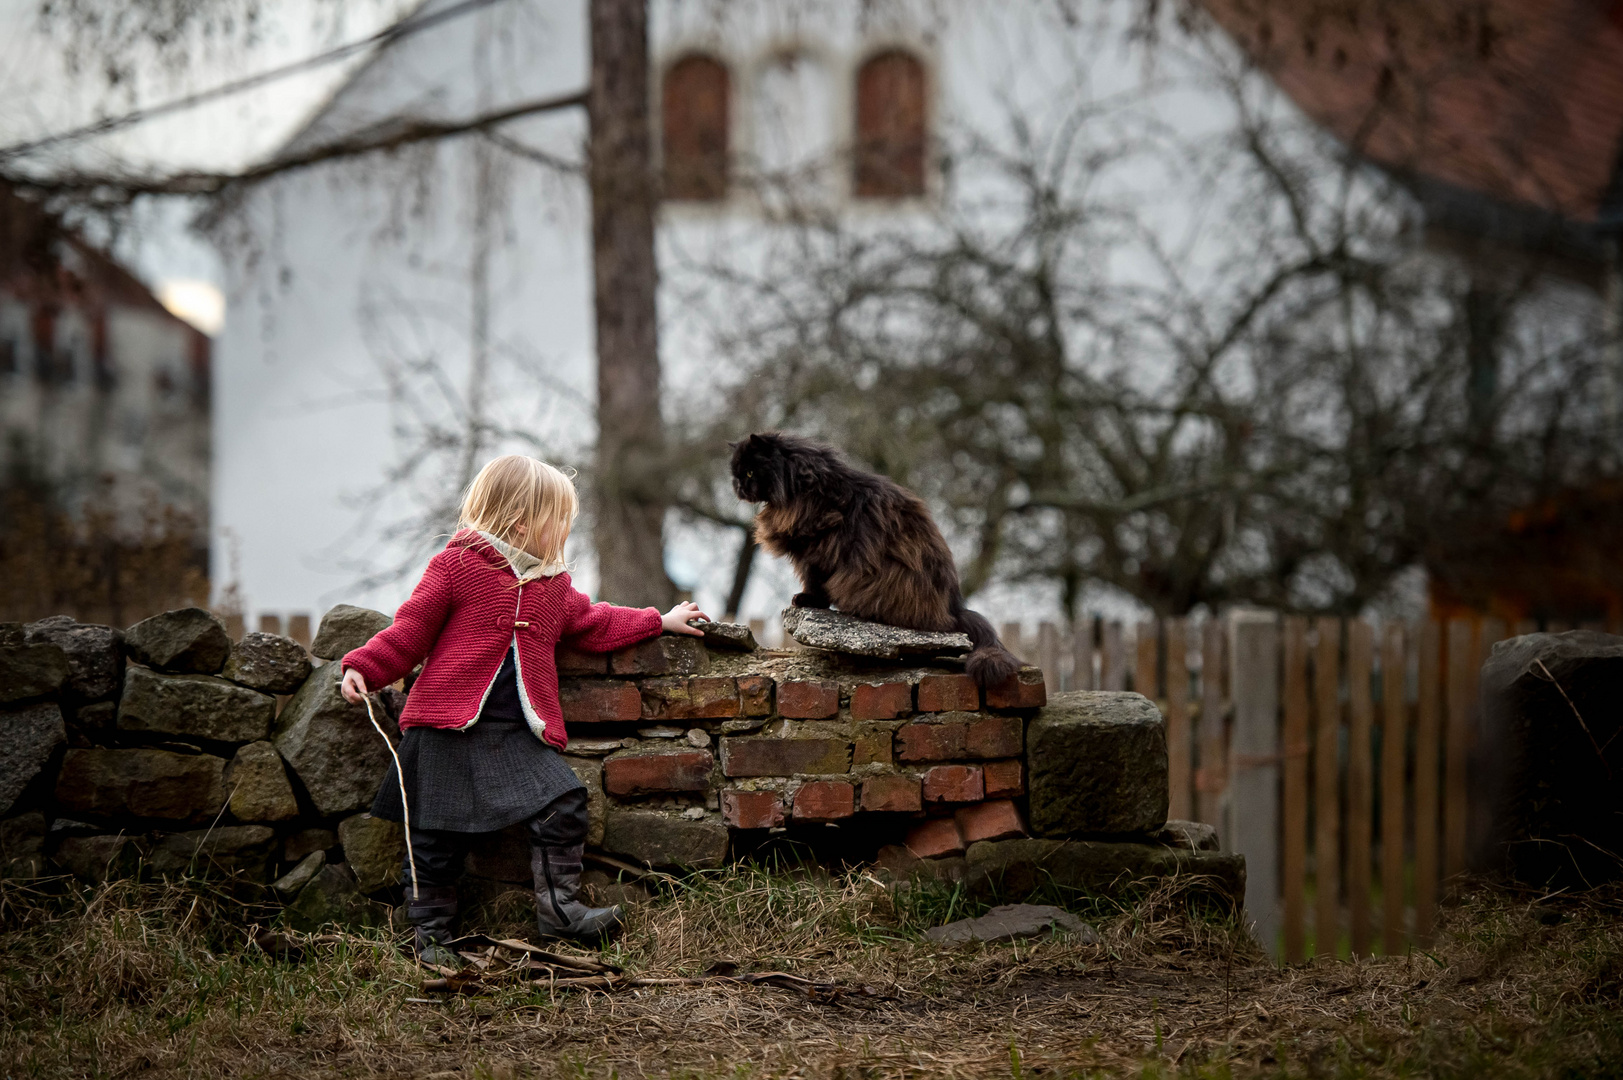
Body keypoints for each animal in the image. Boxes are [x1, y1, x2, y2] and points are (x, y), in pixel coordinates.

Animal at [733, 428, 1019, 682]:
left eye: (749, 472)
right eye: (736, 475)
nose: (738, 486)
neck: (800, 485)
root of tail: (955, 607)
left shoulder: (815, 551)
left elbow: (815, 582)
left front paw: (807, 600)